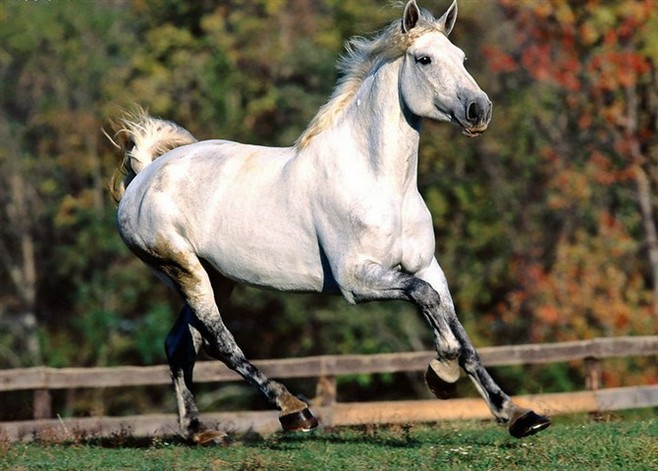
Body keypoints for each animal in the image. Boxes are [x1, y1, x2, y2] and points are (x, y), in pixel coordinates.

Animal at [109, 0, 550, 444]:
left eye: (461, 58)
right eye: (424, 59)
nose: (479, 110)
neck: (380, 182)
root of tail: (145, 175)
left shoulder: (427, 266)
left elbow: (458, 329)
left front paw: (518, 414)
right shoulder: (356, 280)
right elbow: (426, 301)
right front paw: (441, 371)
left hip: (216, 277)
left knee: (180, 344)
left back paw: (199, 432)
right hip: (184, 269)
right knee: (219, 342)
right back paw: (293, 410)